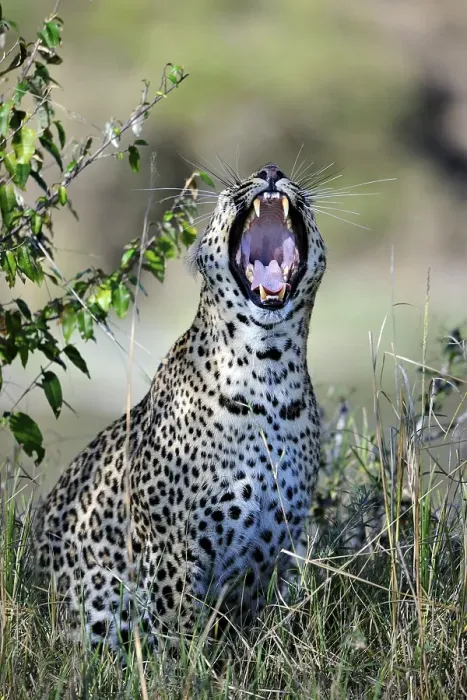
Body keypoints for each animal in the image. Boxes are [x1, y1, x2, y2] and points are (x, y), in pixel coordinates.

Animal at [35, 162, 327, 649]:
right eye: (233, 188)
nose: (270, 170)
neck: (269, 373)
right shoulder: (173, 549)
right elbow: (178, 635)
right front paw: (182, 664)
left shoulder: (267, 554)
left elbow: (242, 636)